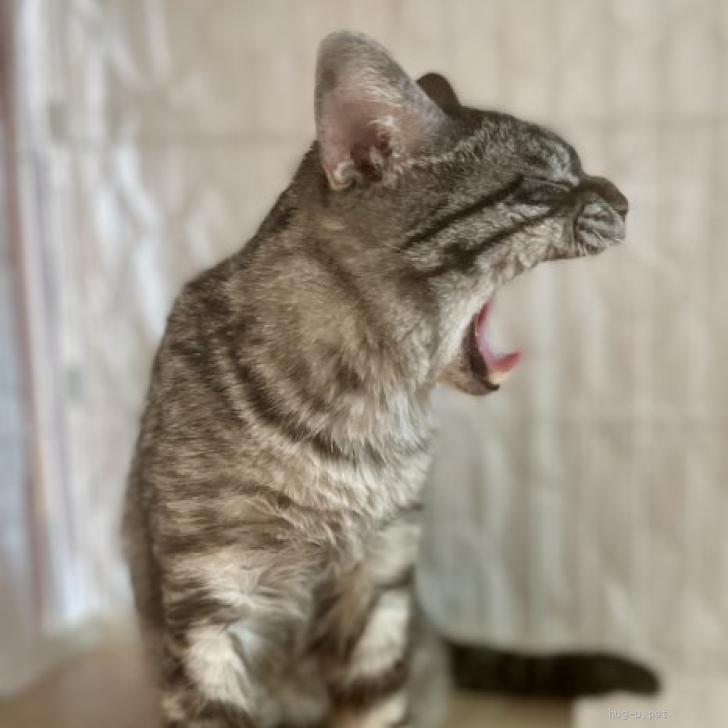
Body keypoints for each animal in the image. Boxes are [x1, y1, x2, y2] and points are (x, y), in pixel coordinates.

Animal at [123, 31, 648, 728]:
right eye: (543, 183)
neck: (369, 408)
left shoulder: (382, 580)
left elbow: (374, 706)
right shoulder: (210, 600)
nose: (625, 201)